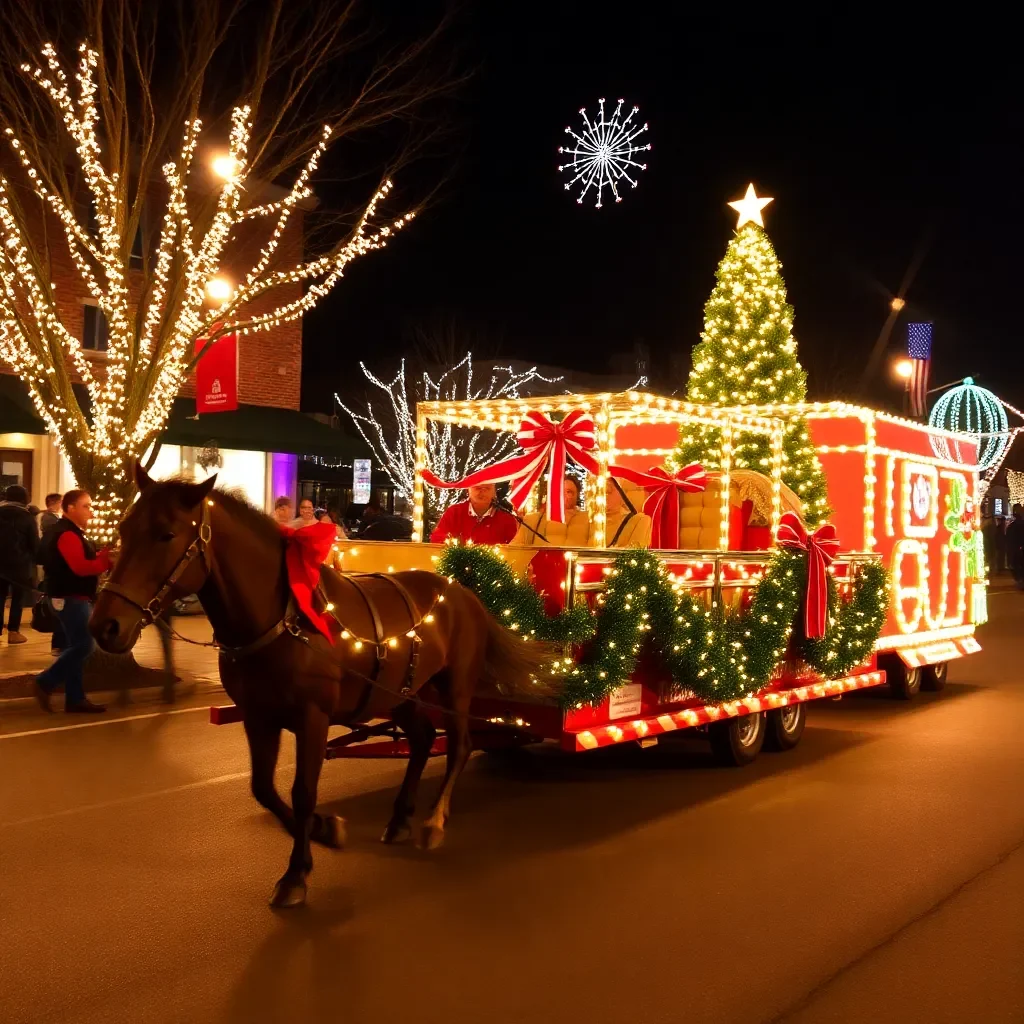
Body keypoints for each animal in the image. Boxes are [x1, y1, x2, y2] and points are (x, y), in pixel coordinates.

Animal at [92, 464, 557, 905]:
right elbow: (263, 789)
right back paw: (400, 818)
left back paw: (432, 820)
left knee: (459, 745)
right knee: (424, 740)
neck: (283, 616)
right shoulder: (258, 716)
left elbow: (302, 792)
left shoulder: (312, 718)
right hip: (406, 693)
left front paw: (296, 874)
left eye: (167, 534)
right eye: (123, 529)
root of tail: (463, 591)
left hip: (455, 688)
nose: (105, 625)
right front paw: (324, 830)